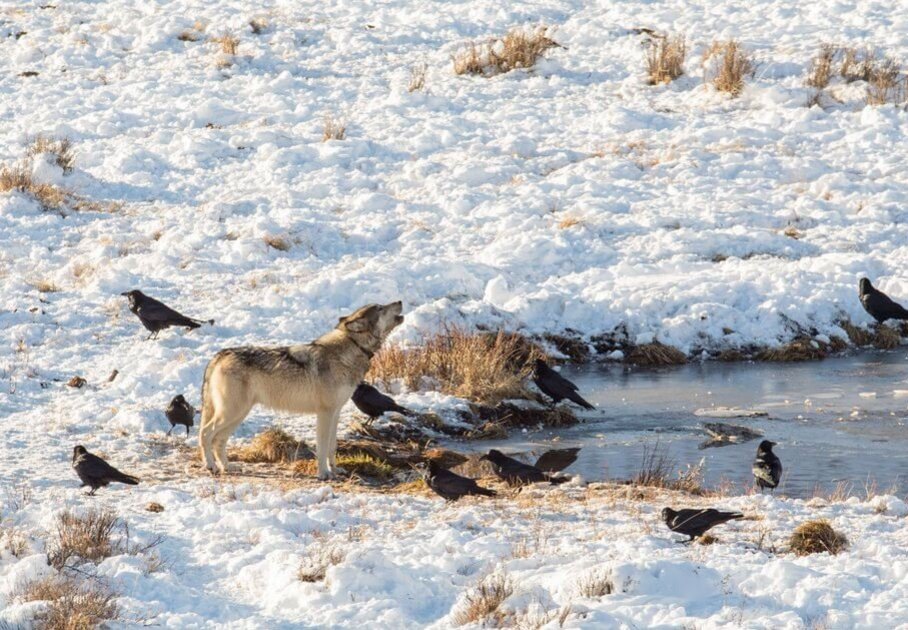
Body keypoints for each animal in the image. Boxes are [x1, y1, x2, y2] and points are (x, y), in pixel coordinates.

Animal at [198, 302, 403, 479]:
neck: (350, 350)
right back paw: (211, 466)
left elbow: (332, 446)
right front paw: (324, 474)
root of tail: (220, 354)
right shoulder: (325, 413)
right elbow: (322, 447)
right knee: (205, 434)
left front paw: (336, 470)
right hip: (231, 413)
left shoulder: (336, 413)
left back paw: (227, 467)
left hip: (238, 415)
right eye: (380, 308)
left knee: (218, 440)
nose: (400, 301)